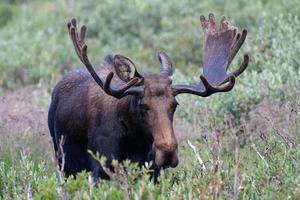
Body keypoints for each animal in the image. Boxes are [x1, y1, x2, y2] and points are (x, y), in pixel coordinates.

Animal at [48, 13, 250, 180]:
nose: (167, 152)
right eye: (142, 105)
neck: (135, 143)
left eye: (174, 105)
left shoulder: (152, 171)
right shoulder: (101, 168)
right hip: (62, 162)